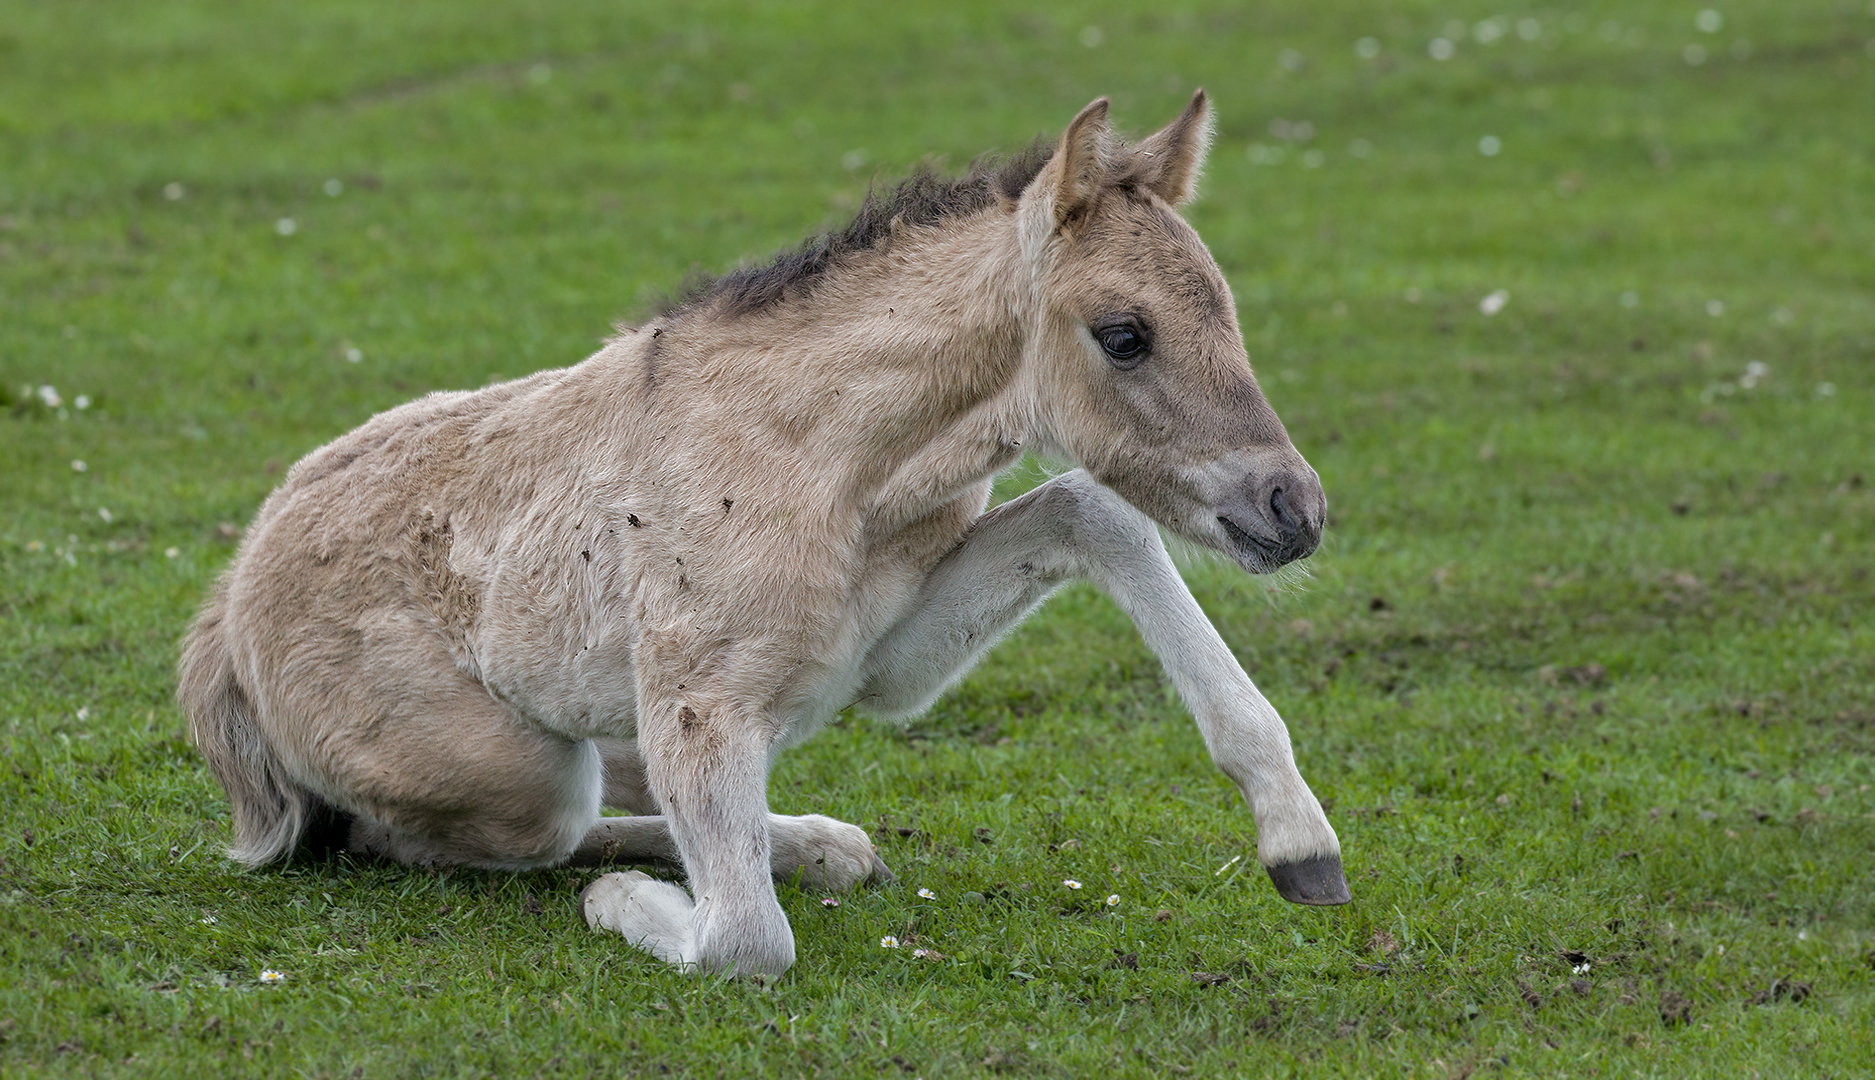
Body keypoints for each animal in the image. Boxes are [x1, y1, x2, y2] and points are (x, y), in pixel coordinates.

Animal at [179, 92, 1350, 975]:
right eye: (1123, 335)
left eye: (1226, 308)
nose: (1292, 509)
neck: (826, 464)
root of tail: (222, 621)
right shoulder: (704, 711)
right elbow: (743, 939)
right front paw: (628, 903)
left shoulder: (881, 668)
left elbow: (1090, 507)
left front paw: (1299, 842)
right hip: (518, 773)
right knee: (482, 830)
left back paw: (820, 842)